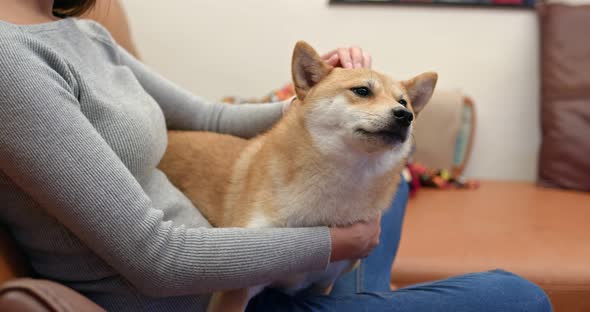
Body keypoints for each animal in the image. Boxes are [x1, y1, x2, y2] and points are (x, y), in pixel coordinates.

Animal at [160, 41, 438, 312]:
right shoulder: (235, 288)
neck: (342, 181)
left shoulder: (323, 283)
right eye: (362, 91)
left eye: (404, 102)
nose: (405, 116)